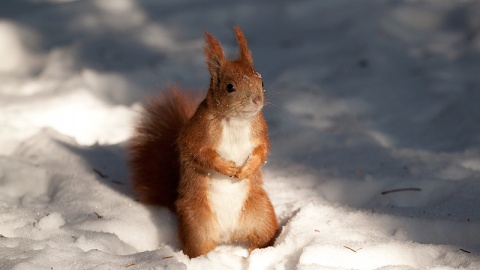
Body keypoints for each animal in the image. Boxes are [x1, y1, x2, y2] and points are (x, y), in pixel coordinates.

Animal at [128, 26, 278, 258]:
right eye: (230, 87)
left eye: (261, 81)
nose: (257, 100)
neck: (235, 121)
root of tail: (228, 235)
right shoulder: (197, 132)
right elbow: (197, 152)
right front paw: (226, 167)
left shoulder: (260, 130)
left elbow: (263, 150)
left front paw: (247, 169)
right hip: (196, 223)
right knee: (197, 248)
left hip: (262, 214)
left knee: (264, 236)